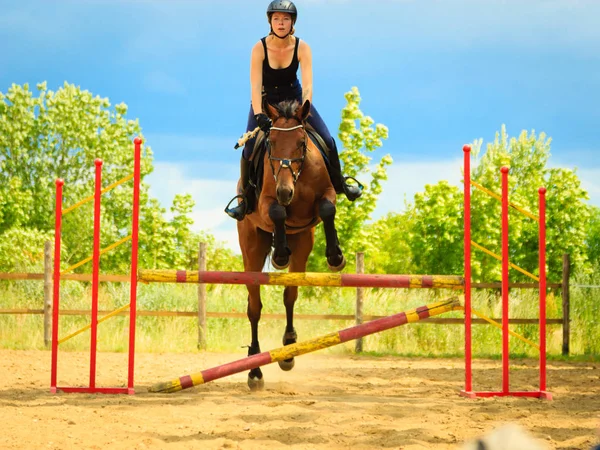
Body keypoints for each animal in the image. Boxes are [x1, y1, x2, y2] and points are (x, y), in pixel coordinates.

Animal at [237, 98, 344, 390]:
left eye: (300, 142)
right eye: (271, 142)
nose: (285, 192)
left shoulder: (326, 195)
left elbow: (328, 208)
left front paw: (335, 257)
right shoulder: (266, 205)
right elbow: (277, 212)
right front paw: (280, 255)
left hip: (304, 243)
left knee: (290, 295)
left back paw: (288, 349)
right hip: (251, 249)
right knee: (254, 308)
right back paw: (255, 370)